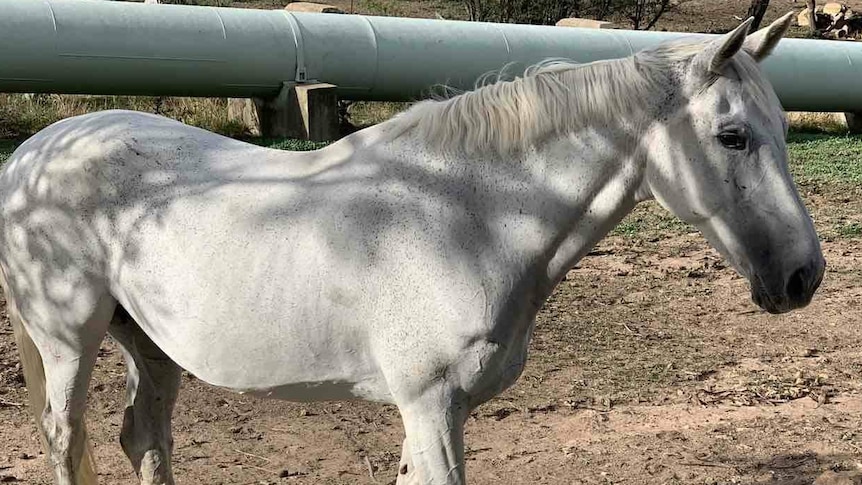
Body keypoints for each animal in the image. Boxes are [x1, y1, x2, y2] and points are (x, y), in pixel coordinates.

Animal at [0, 14, 824, 484]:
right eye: (732, 135)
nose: (802, 276)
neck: (462, 216)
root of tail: (34, 154)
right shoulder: (431, 408)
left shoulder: (430, 415)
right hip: (69, 343)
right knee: (65, 443)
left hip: (150, 344)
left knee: (145, 439)